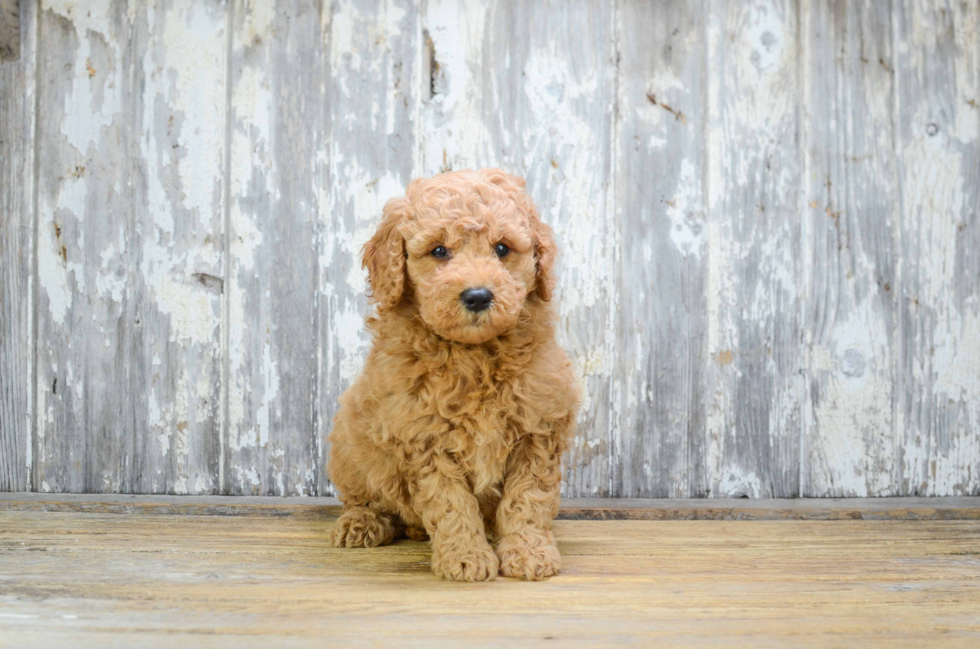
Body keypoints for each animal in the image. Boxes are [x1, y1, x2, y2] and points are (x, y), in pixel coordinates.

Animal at [330, 167, 580, 584]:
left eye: (502, 249)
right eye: (438, 251)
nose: (477, 296)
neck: (473, 354)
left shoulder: (538, 427)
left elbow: (528, 498)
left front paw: (528, 552)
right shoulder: (423, 437)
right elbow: (450, 503)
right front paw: (466, 558)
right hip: (350, 443)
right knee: (365, 497)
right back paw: (360, 523)